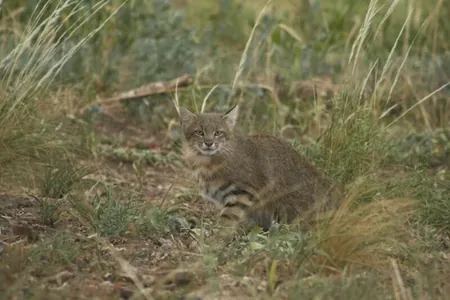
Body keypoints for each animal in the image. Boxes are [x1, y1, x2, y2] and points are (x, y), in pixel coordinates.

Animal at [178, 104, 340, 231]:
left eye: (218, 133)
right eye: (199, 132)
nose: (209, 143)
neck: (208, 160)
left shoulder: (242, 192)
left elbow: (226, 222)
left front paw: (213, 244)